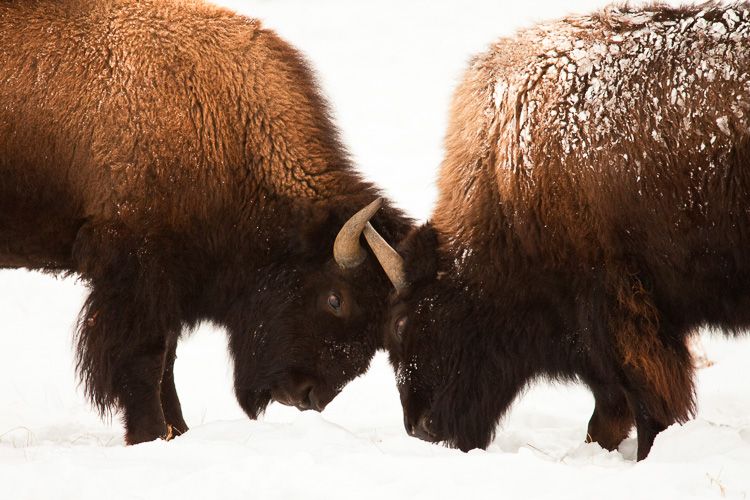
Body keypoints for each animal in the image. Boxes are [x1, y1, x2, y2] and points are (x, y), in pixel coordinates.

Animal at [0, 0, 410, 444]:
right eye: (335, 299)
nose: (307, 395)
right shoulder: (138, 271)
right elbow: (147, 358)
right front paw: (150, 434)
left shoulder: (170, 282)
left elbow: (167, 359)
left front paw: (176, 431)